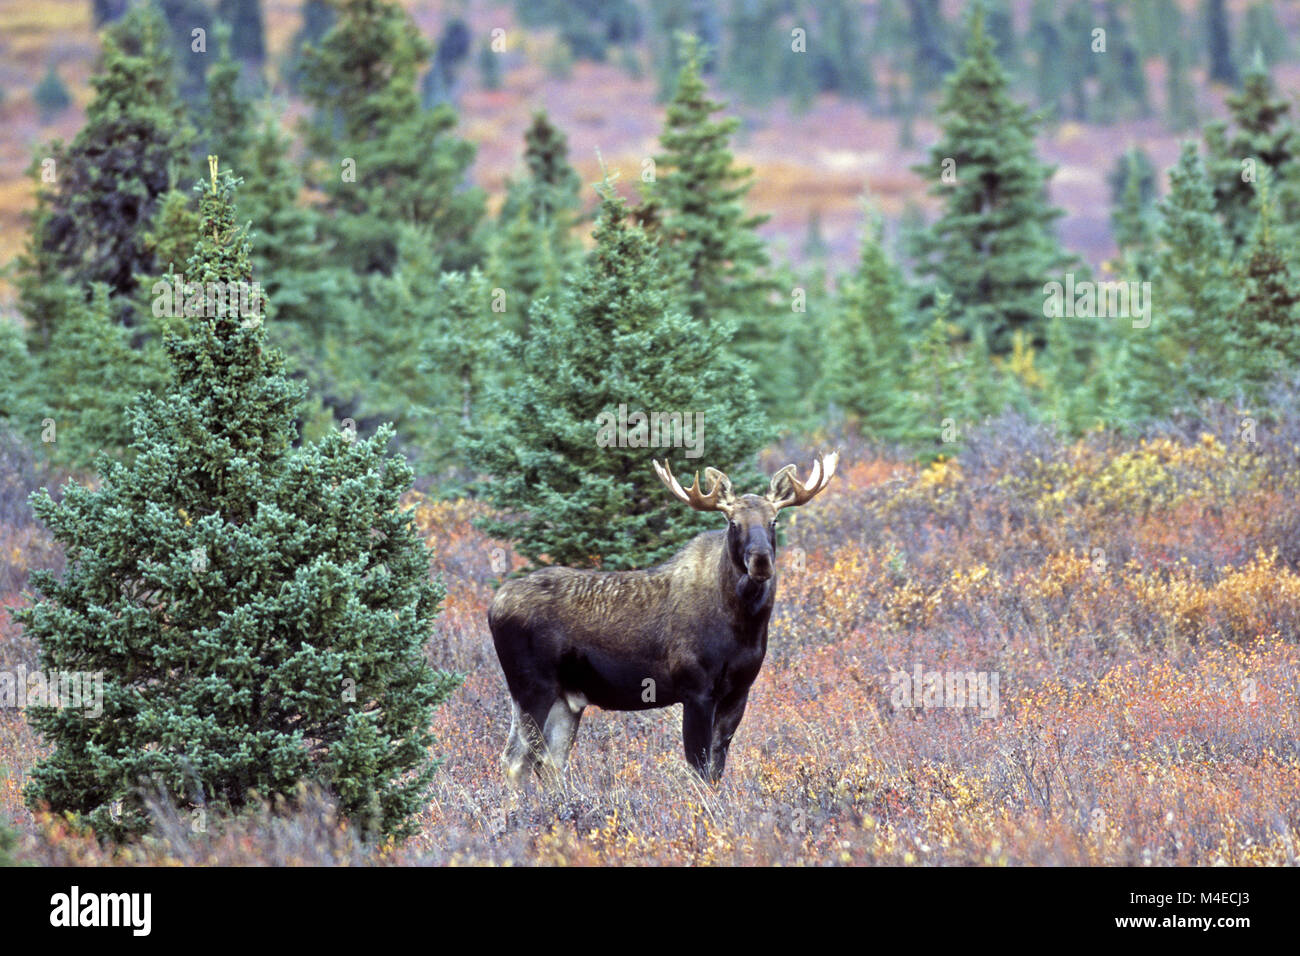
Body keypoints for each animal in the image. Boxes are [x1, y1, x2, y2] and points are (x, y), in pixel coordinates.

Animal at [488, 450, 842, 785]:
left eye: (774, 520)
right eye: (733, 522)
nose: (760, 560)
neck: (744, 626)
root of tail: (494, 606)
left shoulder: (739, 690)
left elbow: (717, 767)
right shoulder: (696, 689)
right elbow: (699, 768)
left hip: (567, 698)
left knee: (550, 762)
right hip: (531, 686)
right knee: (515, 760)